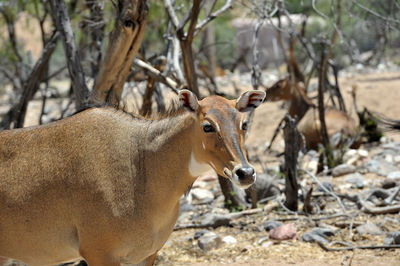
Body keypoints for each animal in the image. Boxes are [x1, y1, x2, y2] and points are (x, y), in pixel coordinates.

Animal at [0, 90, 266, 266]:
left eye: (243, 123)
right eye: (207, 126)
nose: (245, 173)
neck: (141, 165)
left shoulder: (146, 255)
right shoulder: (99, 253)